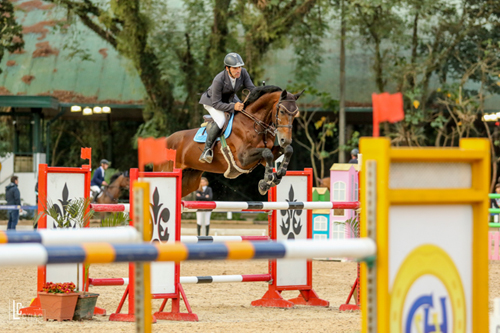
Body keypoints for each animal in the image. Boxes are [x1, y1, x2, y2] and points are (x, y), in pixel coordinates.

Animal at [154, 84, 302, 196]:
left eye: (295, 113)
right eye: (282, 112)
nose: (285, 140)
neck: (254, 123)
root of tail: (166, 140)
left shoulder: (263, 159)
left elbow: (287, 150)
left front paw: (276, 176)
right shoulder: (243, 158)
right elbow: (267, 152)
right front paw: (267, 181)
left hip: (189, 181)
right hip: (166, 172)